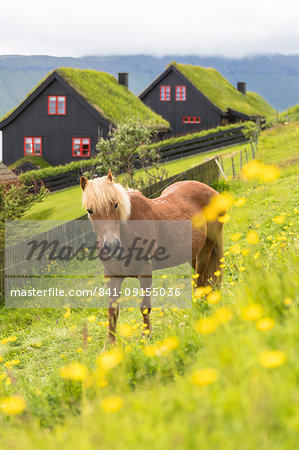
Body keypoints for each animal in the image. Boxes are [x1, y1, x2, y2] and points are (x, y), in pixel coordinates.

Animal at [81, 171, 224, 346]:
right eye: (90, 210)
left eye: (115, 204)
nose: (112, 245)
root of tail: (211, 190)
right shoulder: (112, 276)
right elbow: (112, 311)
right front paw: (109, 345)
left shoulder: (145, 272)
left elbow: (144, 306)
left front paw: (146, 336)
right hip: (193, 254)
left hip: (206, 248)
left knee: (200, 278)